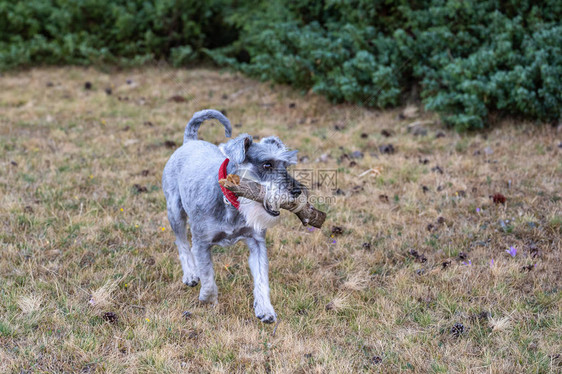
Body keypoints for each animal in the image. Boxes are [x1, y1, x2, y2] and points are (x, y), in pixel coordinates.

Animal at [161, 109, 302, 324]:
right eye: (267, 164)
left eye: (285, 165)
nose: (297, 191)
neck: (232, 205)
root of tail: (189, 142)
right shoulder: (202, 243)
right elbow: (208, 277)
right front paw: (207, 298)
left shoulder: (257, 242)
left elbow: (262, 278)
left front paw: (265, 309)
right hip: (175, 212)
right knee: (182, 244)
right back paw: (191, 274)